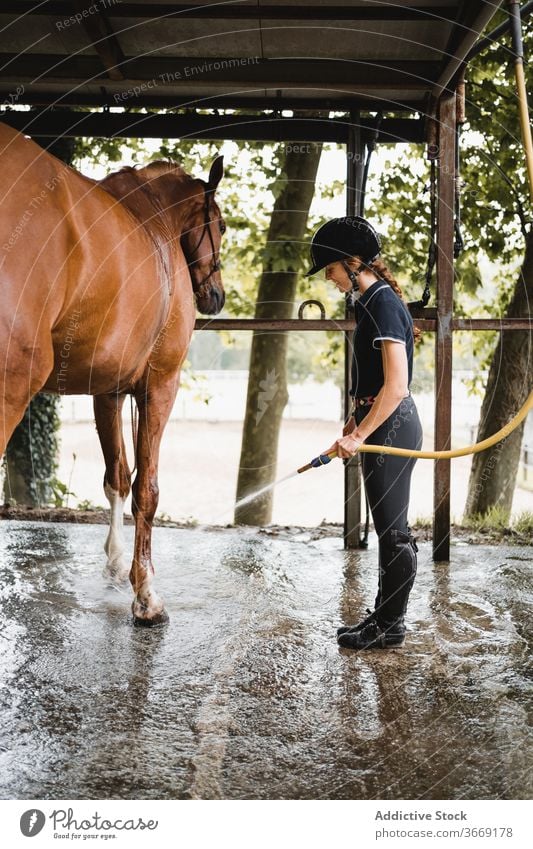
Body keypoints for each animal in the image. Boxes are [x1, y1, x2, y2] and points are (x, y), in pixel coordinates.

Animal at [0, 121, 224, 624]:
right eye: (220, 226)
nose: (216, 296)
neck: (157, 225)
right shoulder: (159, 384)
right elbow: (147, 489)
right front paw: (146, 594)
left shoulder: (109, 390)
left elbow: (116, 476)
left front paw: (117, 561)